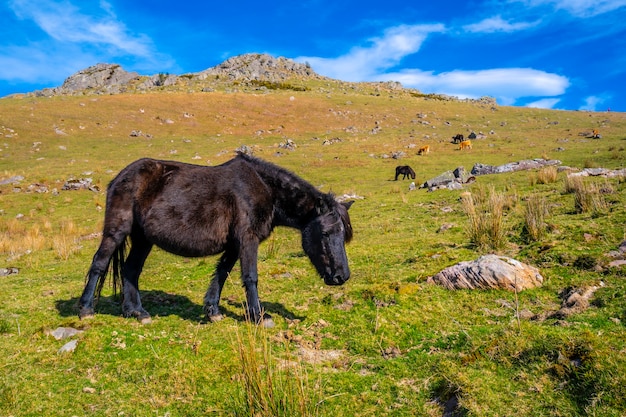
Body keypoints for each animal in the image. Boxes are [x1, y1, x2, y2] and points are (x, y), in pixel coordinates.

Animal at [77, 151, 352, 326]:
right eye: (326, 233)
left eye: (343, 234)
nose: (341, 277)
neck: (264, 189)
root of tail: (119, 178)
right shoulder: (247, 239)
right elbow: (250, 277)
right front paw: (258, 317)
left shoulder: (234, 245)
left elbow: (222, 274)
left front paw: (212, 311)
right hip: (117, 231)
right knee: (99, 263)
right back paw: (86, 310)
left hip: (143, 239)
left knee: (131, 270)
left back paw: (136, 312)